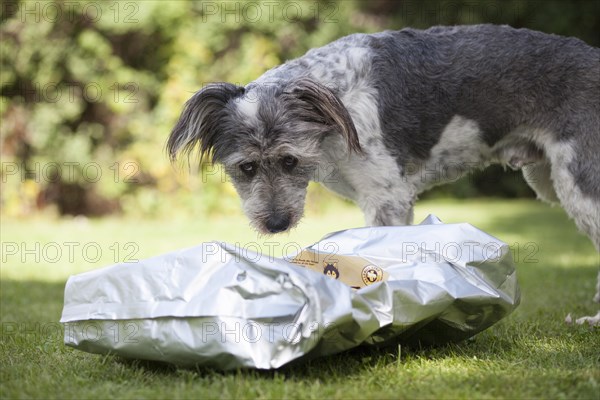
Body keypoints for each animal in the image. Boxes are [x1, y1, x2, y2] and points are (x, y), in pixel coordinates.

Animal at [166, 24, 596, 324]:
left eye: (289, 161)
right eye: (247, 167)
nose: (275, 224)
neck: (334, 107)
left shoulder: (387, 197)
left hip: (580, 182)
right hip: (545, 178)